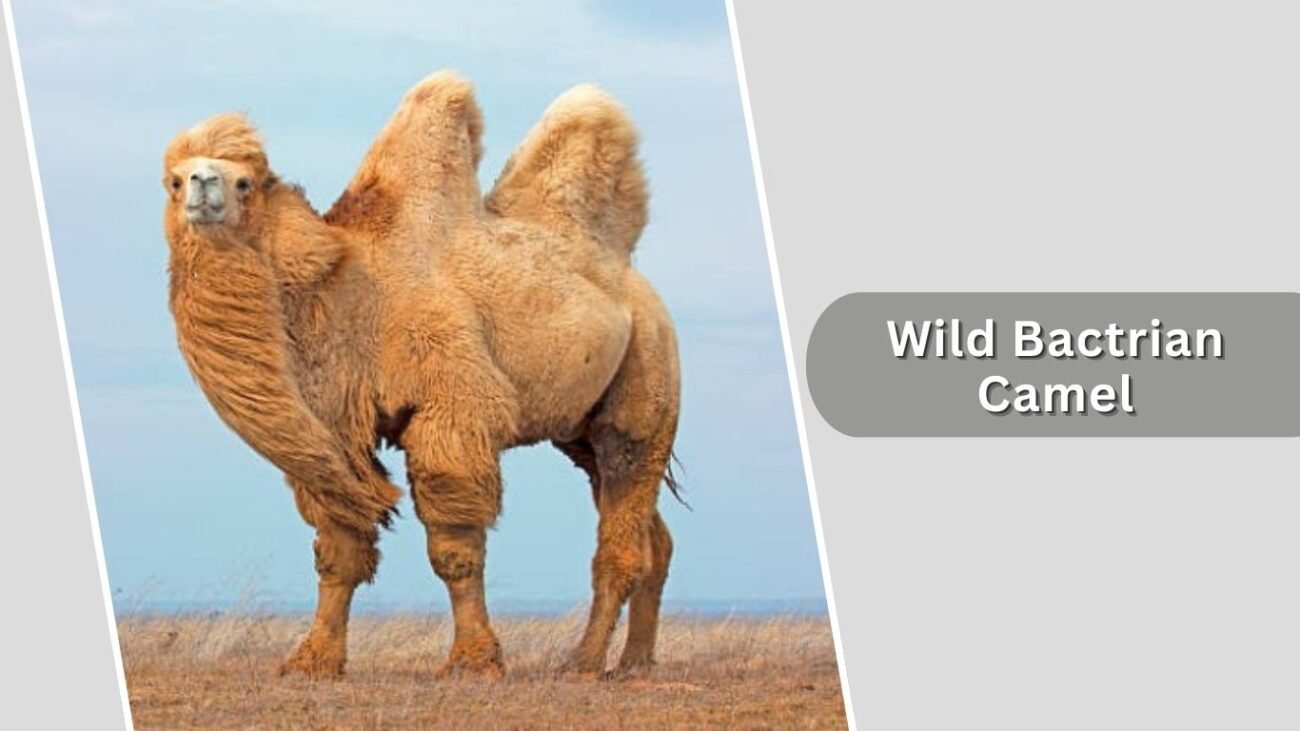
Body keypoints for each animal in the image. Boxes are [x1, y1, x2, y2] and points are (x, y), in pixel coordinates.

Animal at [161, 71, 680, 680]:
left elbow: (454, 549)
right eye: (173, 180)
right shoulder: (339, 433)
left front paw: (474, 661)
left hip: (647, 378)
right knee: (652, 536)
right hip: (580, 431)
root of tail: (635, 284)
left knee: (621, 523)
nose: (201, 186)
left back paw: (583, 662)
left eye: (245, 183)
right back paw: (635, 662)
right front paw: (314, 660)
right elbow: (338, 548)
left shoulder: (451, 406)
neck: (348, 291)